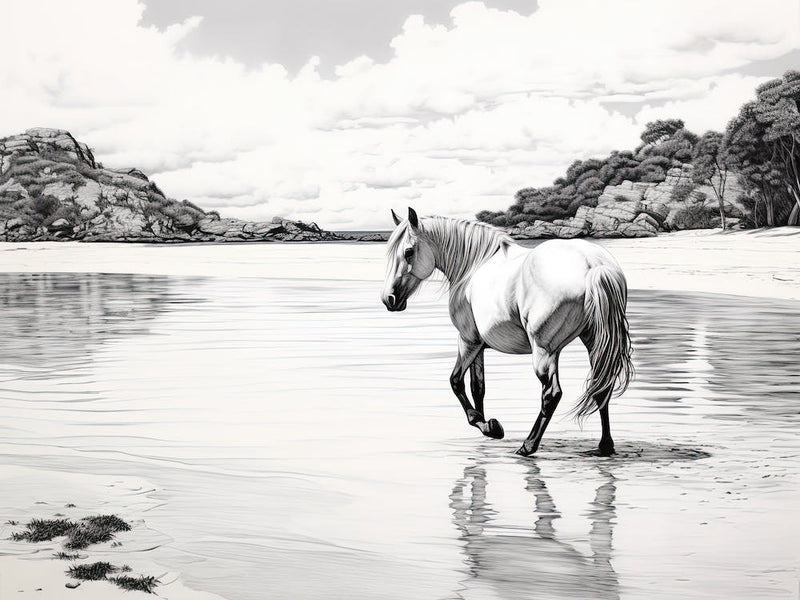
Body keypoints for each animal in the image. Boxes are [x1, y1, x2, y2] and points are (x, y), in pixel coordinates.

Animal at [381, 207, 633, 456]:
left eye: (408, 252)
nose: (388, 299)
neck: (473, 266)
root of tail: (593, 264)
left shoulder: (468, 339)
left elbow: (456, 381)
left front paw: (484, 425)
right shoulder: (479, 345)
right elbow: (478, 386)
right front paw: (489, 426)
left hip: (544, 350)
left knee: (551, 394)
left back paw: (528, 446)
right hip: (594, 341)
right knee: (601, 386)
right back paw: (605, 446)